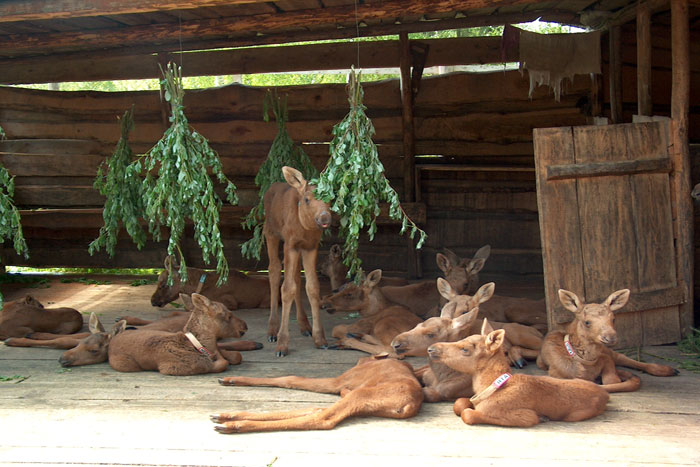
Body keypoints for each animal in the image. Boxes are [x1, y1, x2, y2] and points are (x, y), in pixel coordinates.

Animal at [109, 292, 249, 376]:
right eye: (229, 315)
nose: (245, 325)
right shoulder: (173, 367)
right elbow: (222, 362)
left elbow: (234, 355)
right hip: (127, 365)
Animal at [264, 166, 332, 356]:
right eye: (307, 199)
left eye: (330, 199)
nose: (325, 218)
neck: (305, 228)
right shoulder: (290, 245)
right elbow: (286, 289)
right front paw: (282, 344)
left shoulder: (310, 247)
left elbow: (312, 287)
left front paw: (320, 338)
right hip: (270, 233)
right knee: (273, 271)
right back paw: (272, 331)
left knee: (296, 278)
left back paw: (305, 326)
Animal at [426, 322, 608, 428]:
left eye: (465, 349)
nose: (431, 348)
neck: (489, 386)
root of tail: (605, 395)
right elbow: (460, 403)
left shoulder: (525, 417)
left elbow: (468, 414)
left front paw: (543, 418)